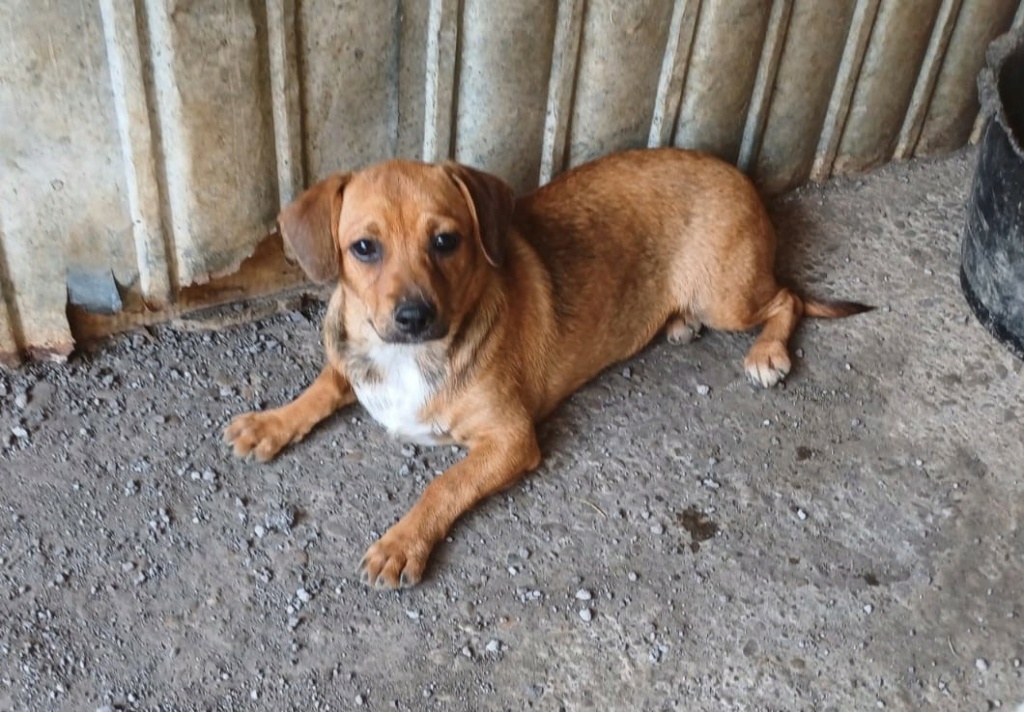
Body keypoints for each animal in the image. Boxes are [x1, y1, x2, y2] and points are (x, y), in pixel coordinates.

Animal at [222, 147, 864, 585]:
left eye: (446, 240)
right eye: (364, 248)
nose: (413, 316)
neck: (407, 355)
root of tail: (736, 173)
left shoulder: (510, 439)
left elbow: (443, 483)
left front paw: (402, 542)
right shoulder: (352, 363)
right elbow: (323, 385)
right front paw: (270, 423)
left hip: (727, 296)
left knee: (787, 299)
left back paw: (767, 353)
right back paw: (678, 324)